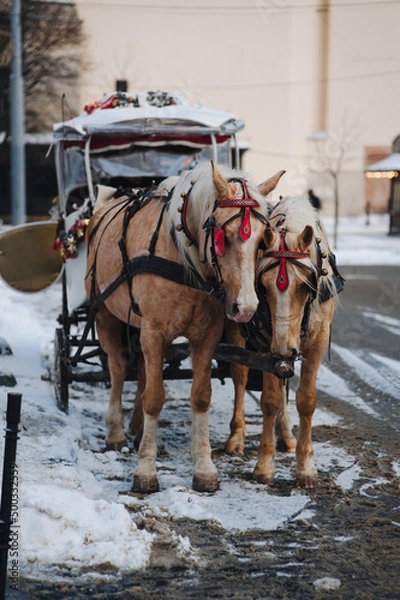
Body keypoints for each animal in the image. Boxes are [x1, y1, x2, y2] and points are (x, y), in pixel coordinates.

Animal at [85, 162, 284, 490]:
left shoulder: (205, 337)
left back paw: (137, 427)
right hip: (105, 315)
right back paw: (116, 432)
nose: (246, 308)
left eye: (263, 240)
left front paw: (204, 468)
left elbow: (200, 396)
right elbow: (154, 398)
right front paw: (145, 471)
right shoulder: (155, 332)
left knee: (141, 367)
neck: (183, 258)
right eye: (223, 235)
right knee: (117, 367)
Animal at [227, 197, 342, 488]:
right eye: (264, 286)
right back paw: (236, 437)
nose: (283, 348)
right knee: (240, 376)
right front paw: (264, 466)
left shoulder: (319, 339)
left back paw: (286, 435)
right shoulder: (266, 340)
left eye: (304, 286)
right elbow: (268, 400)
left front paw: (306, 468)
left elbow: (306, 400)